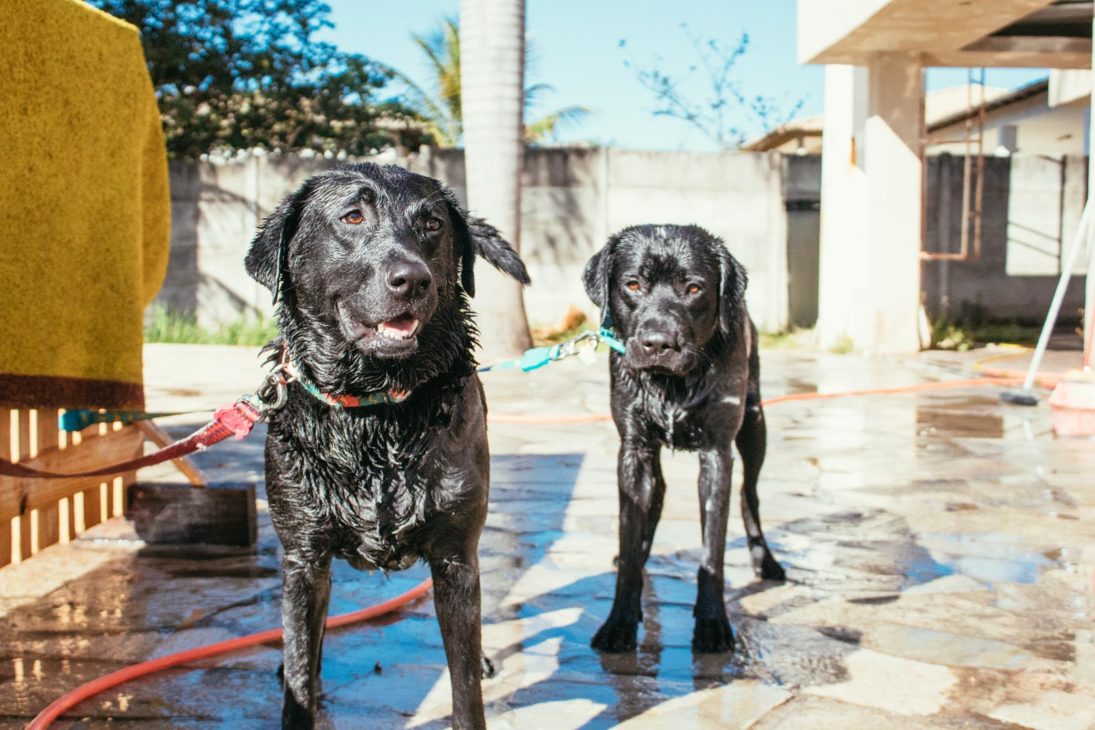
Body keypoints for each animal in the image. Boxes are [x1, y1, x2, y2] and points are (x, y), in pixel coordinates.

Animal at [246, 163, 527, 726]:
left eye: (432, 224)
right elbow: (300, 675)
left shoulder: (457, 558)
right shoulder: (302, 557)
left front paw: (474, 676)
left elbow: (465, 687)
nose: (413, 279)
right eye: (353, 216)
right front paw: (297, 681)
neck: (375, 409)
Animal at [586, 224, 784, 656]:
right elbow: (630, 538)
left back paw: (766, 561)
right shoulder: (634, 449)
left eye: (694, 288)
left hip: (755, 423)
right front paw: (619, 622)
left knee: (750, 494)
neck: (671, 386)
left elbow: (713, 550)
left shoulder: (717, 452)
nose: (659, 343)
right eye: (633, 284)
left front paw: (712, 624)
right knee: (655, 497)